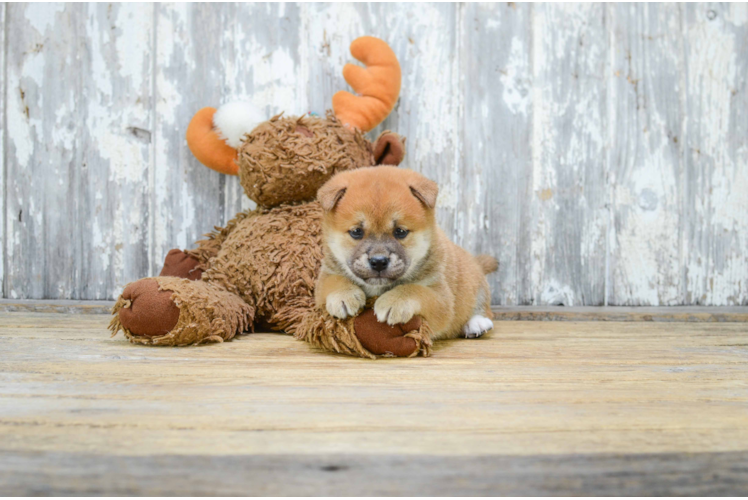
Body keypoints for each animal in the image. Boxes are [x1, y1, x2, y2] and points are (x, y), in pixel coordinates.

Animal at [314, 167, 496, 340]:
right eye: (357, 232)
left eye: (400, 232)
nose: (378, 262)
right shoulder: (325, 277)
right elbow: (334, 281)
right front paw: (343, 295)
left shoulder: (441, 297)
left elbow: (415, 289)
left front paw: (394, 301)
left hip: (476, 284)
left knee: (484, 309)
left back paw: (476, 324)